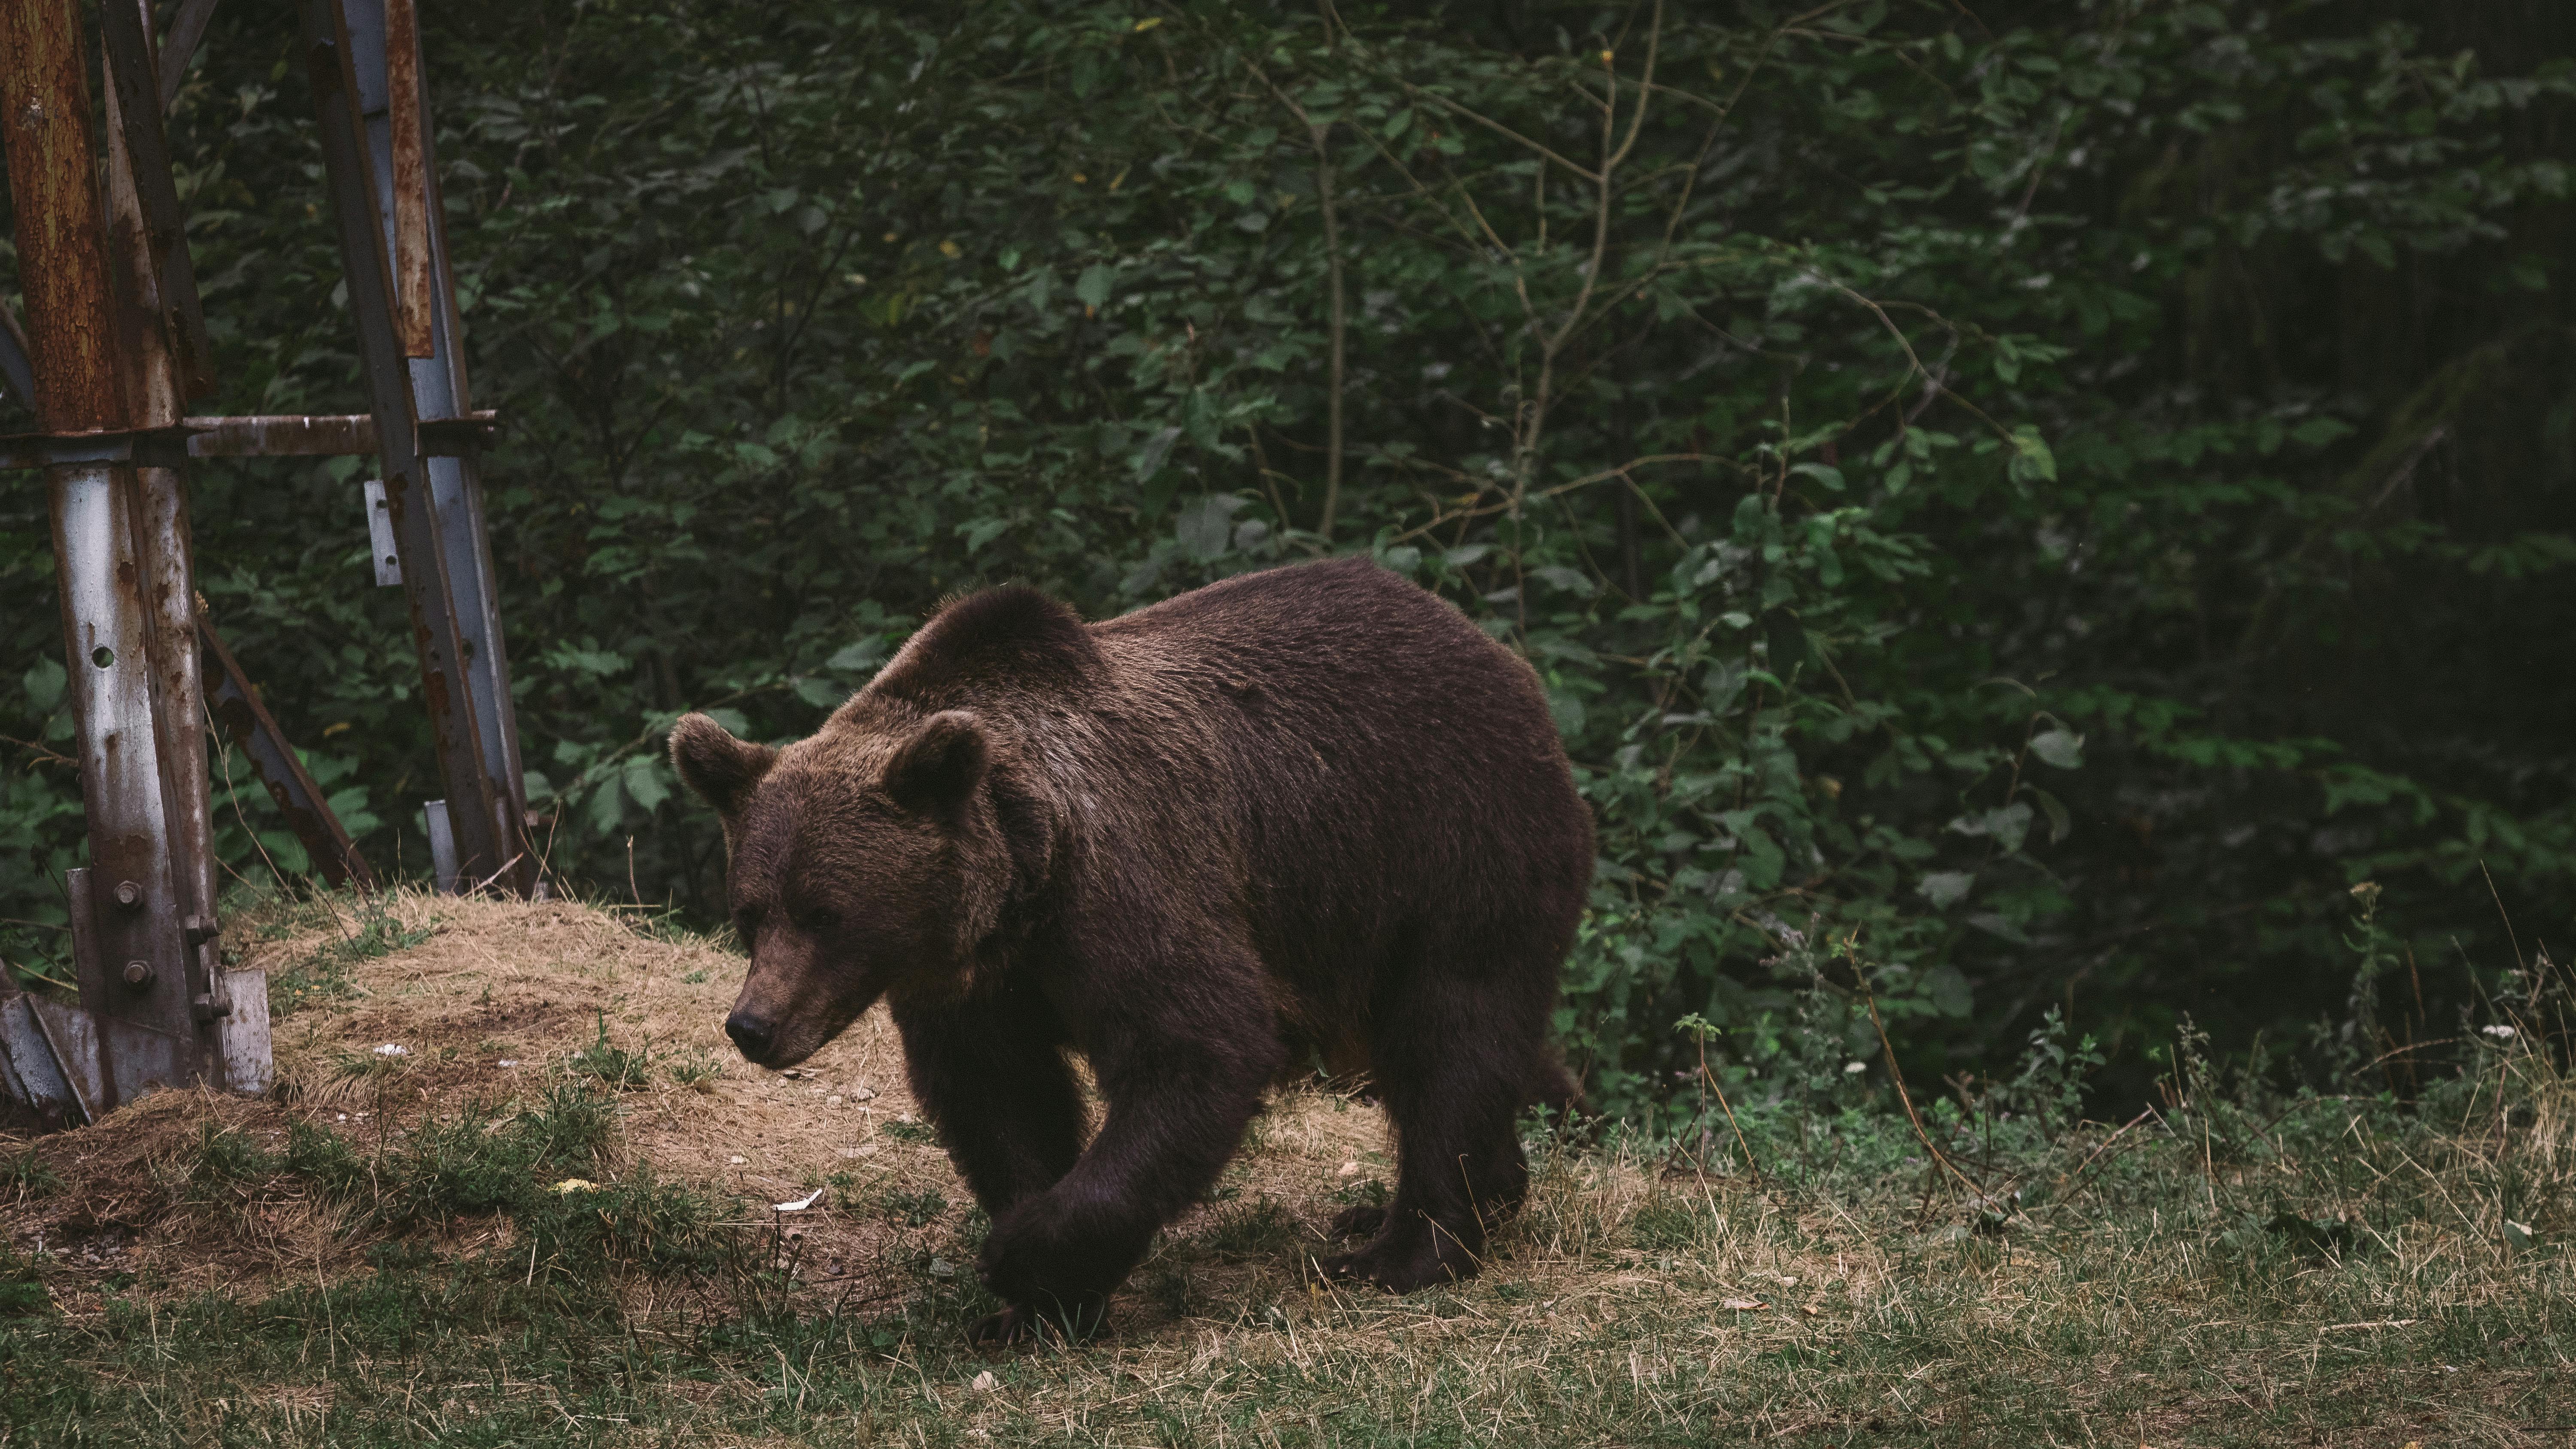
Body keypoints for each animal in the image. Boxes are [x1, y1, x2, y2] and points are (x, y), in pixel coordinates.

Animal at [665, 549, 1587, 1330]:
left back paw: (1404, 1249)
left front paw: (1023, 1257)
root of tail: (1492, 650)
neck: (1022, 883)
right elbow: (1002, 1097)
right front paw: (1039, 1303)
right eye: (751, 911)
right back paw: (1447, 1197)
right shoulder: (980, 986)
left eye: (828, 912)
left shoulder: (1124, 889)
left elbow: (1196, 1046)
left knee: (1449, 1030)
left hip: (1445, 846)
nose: (754, 1026)